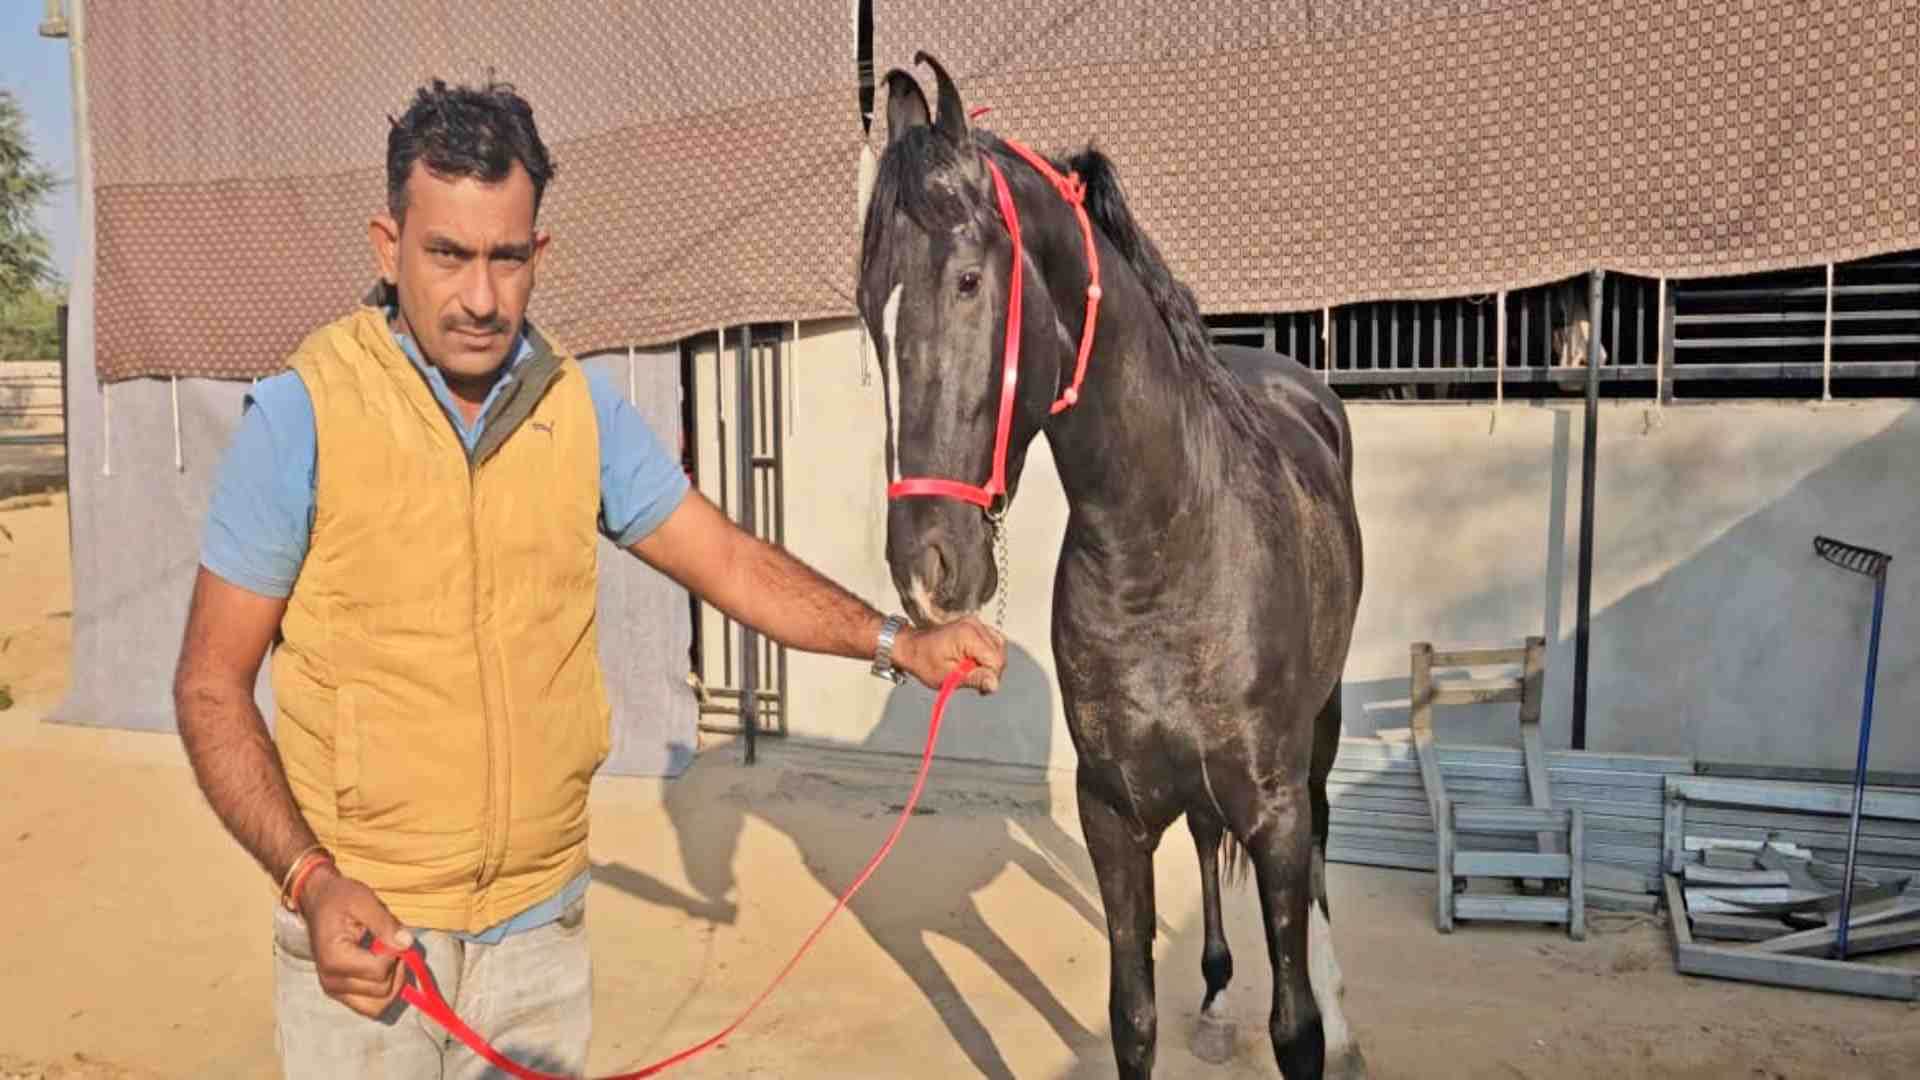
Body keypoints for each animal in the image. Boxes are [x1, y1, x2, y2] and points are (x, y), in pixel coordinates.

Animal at [856, 53, 1367, 1079]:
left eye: (966, 281)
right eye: (866, 311)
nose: (927, 569)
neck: (1165, 550)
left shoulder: (1275, 810)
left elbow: (1294, 1024)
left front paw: (1315, 1018)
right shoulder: (1111, 813)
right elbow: (1132, 1016)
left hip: (1321, 737)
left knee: (1324, 844)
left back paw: (1341, 1012)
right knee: (1206, 842)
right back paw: (1214, 1002)